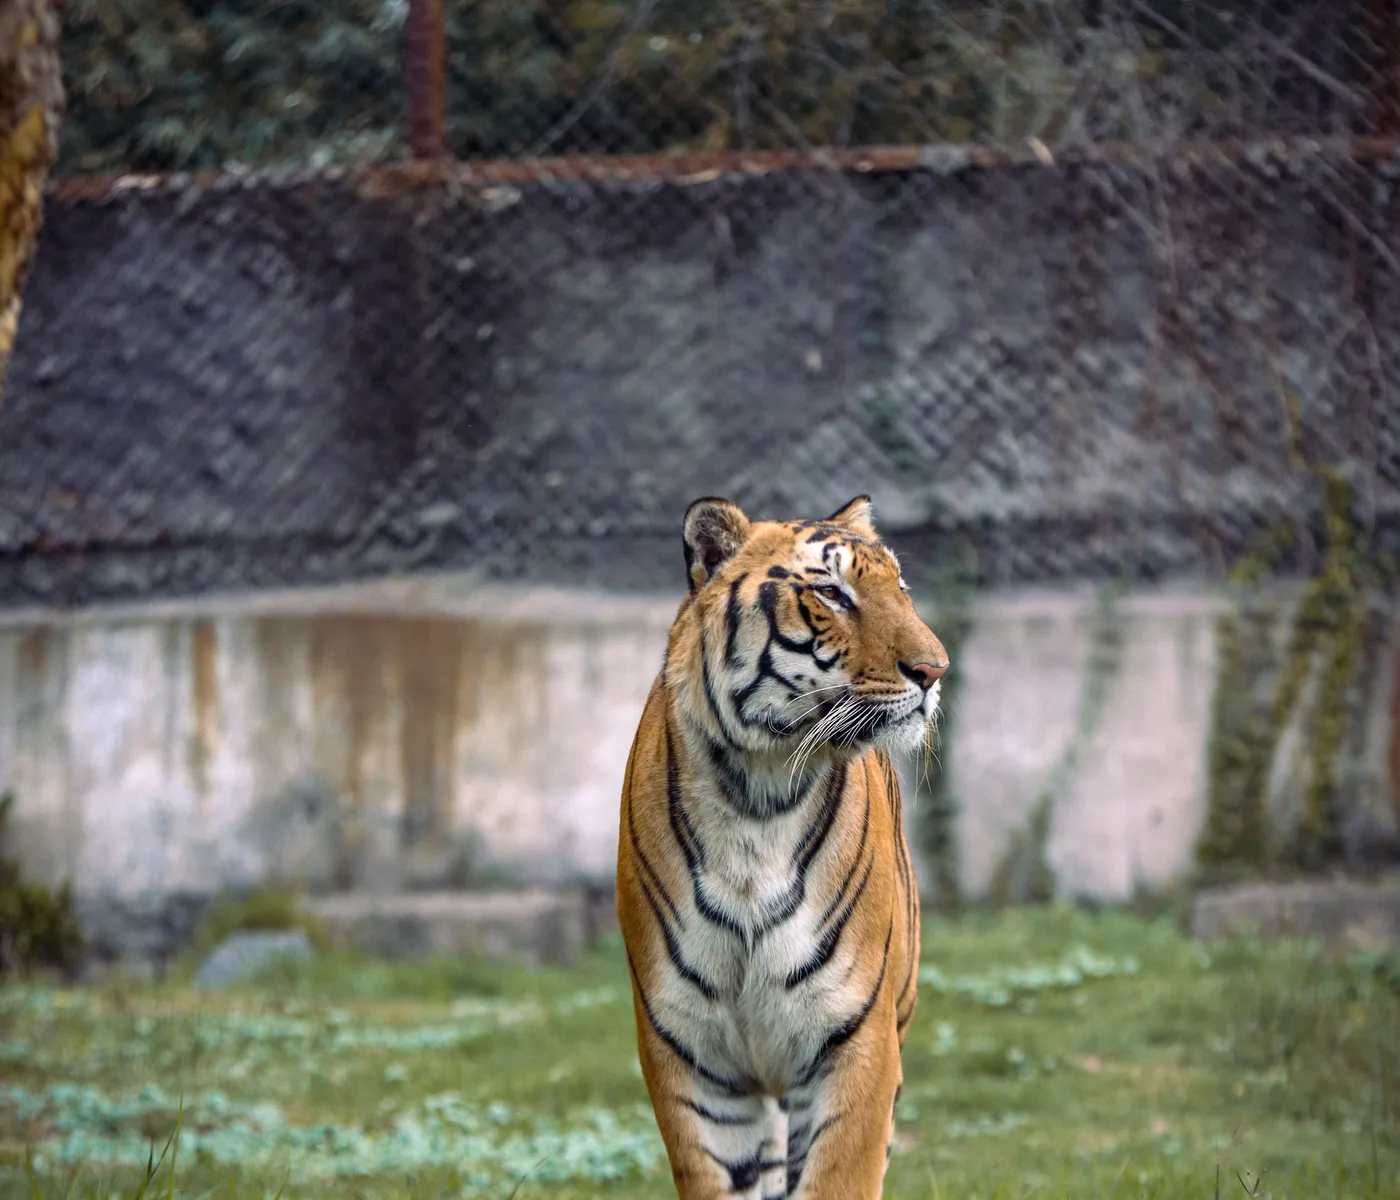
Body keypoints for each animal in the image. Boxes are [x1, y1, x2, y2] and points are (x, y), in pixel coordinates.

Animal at [616, 494, 949, 1200]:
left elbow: (838, 1179)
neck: (756, 800)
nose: (936, 671)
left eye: (901, 588)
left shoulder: (854, 1039)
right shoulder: (691, 1058)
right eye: (831, 592)